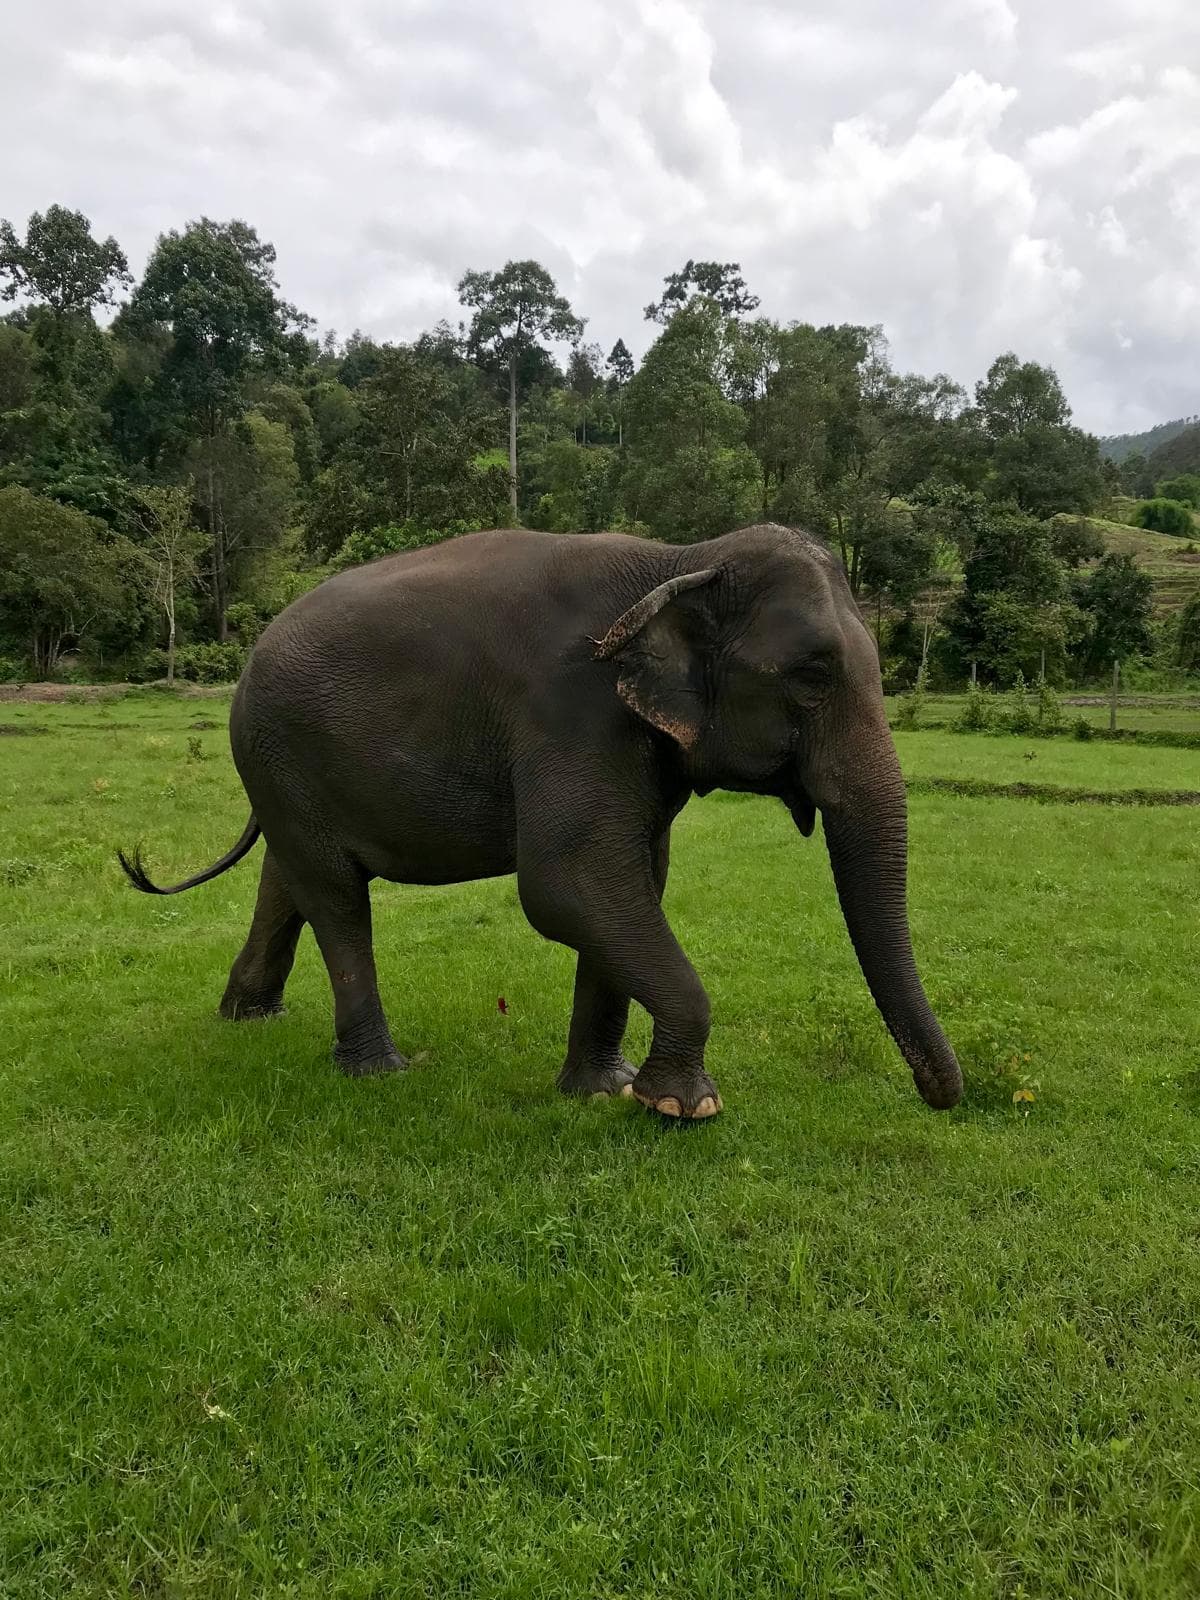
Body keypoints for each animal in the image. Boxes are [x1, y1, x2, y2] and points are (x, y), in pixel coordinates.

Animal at [119, 522, 962, 1120]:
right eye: (813, 677)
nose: (943, 1098)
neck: (681, 559)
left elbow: (634, 883)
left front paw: (604, 1090)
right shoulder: (571, 713)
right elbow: (568, 885)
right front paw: (681, 1107)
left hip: (283, 769)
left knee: (289, 875)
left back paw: (247, 1018)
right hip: (278, 749)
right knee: (336, 897)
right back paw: (379, 1071)